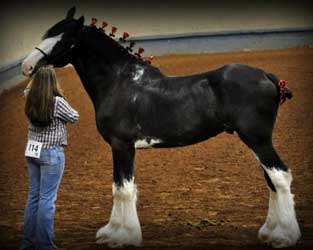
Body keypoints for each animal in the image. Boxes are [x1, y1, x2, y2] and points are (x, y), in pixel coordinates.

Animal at [22, 7, 300, 248]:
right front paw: (112, 232)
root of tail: (267, 77)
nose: (27, 66)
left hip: (257, 139)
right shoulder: (120, 148)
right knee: (271, 180)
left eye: (62, 39)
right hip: (257, 141)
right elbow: (119, 187)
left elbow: (123, 190)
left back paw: (284, 236)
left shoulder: (122, 146)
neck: (119, 82)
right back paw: (269, 232)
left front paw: (123, 237)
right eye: (47, 34)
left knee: (280, 177)